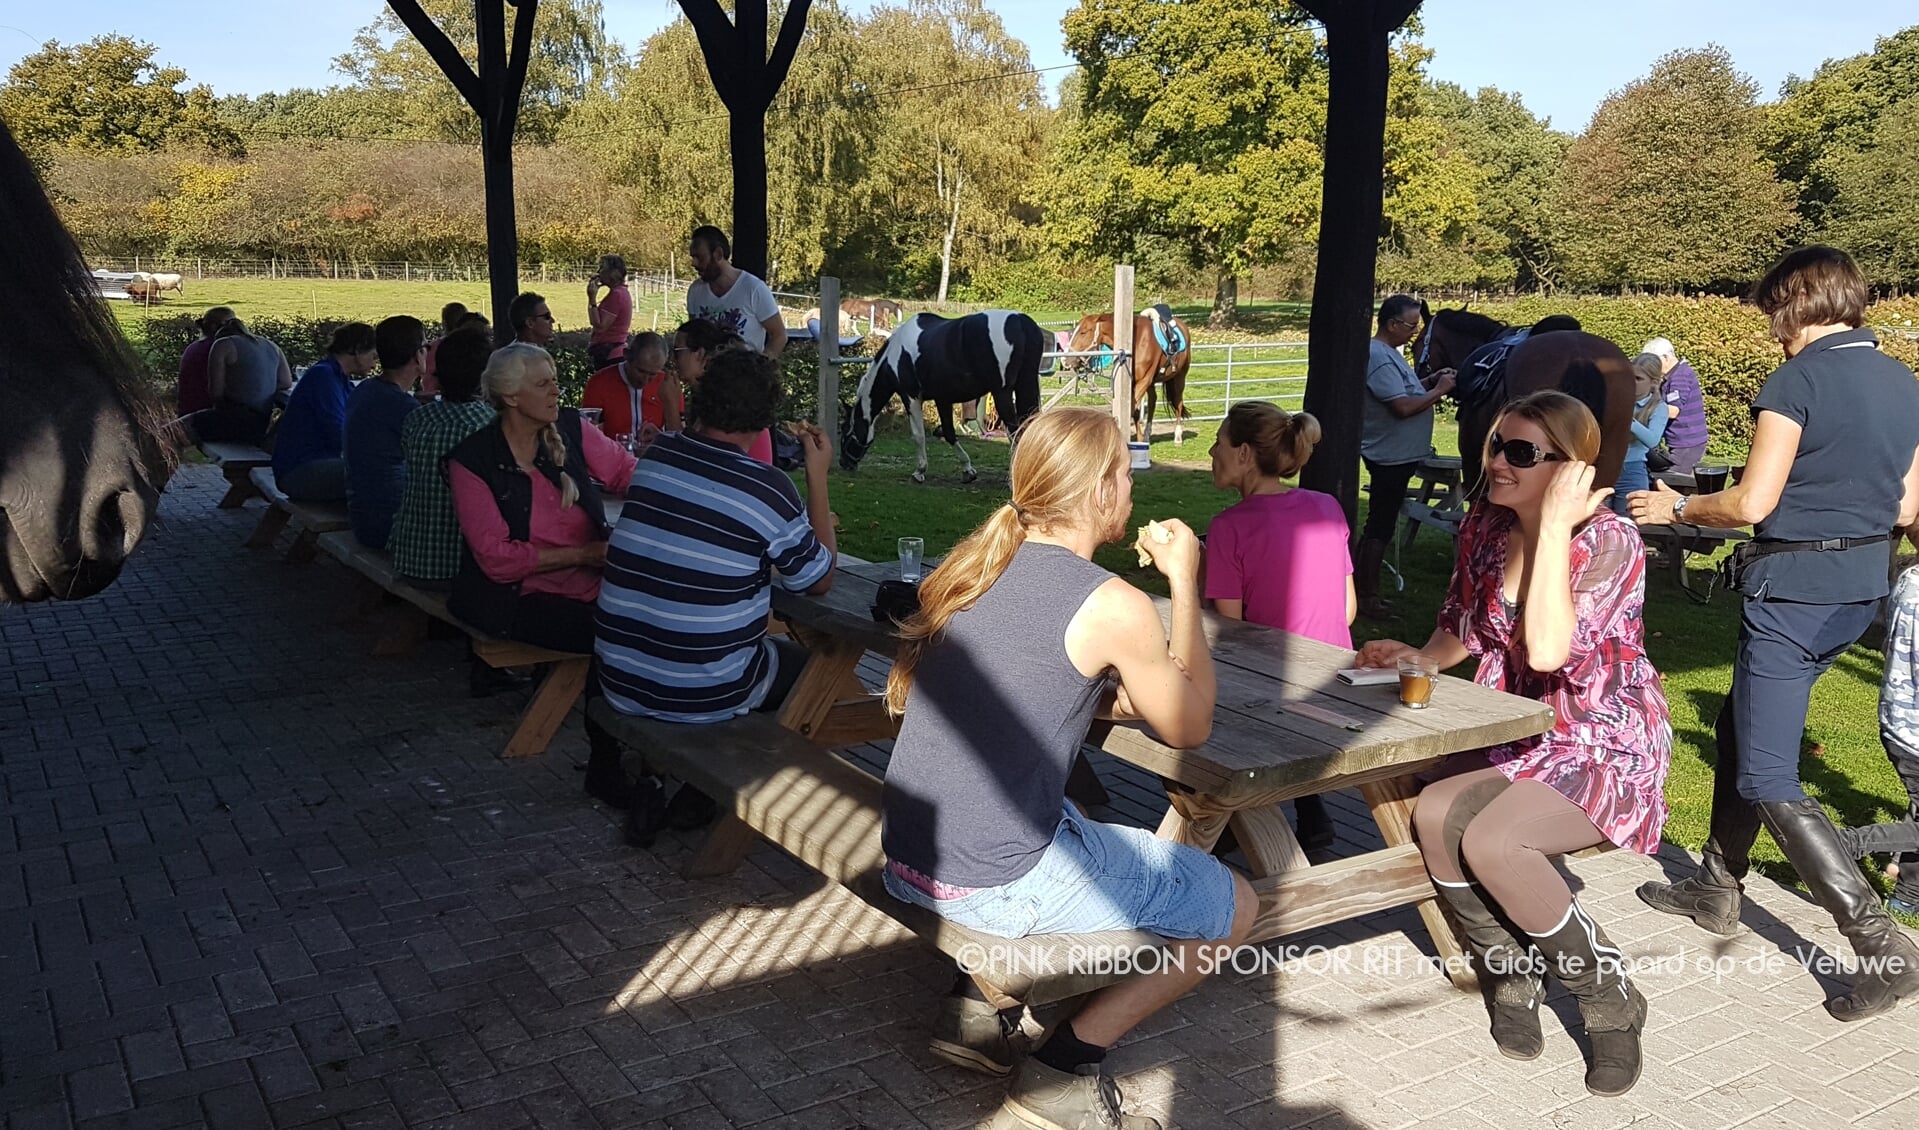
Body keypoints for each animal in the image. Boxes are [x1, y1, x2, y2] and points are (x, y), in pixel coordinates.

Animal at [844, 310, 1051, 483]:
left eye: (846, 430)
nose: (844, 463)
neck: (895, 356)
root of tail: (1020, 321)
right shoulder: (942, 399)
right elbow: (948, 432)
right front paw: (968, 471)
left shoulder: (911, 397)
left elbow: (918, 435)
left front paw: (919, 472)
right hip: (1026, 384)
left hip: (1003, 393)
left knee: (1015, 431)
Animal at [1059, 314, 1189, 447]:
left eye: (1083, 332)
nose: (1064, 360)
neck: (1137, 341)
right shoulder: (1133, 382)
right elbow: (1135, 410)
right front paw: (1139, 438)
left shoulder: (1144, 381)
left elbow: (1132, 409)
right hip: (1152, 383)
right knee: (1153, 401)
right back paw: (1147, 435)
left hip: (1179, 377)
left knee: (1178, 402)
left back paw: (1178, 437)